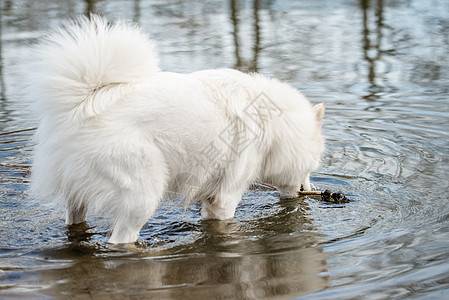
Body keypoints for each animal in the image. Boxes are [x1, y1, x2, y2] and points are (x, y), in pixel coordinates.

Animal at [28, 15, 324, 244]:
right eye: (311, 167)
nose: (308, 190)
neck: (273, 123)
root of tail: (82, 105)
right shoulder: (226, 197)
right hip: (143, 195)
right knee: (121, 239)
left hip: (78, 197)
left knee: (75, 222)